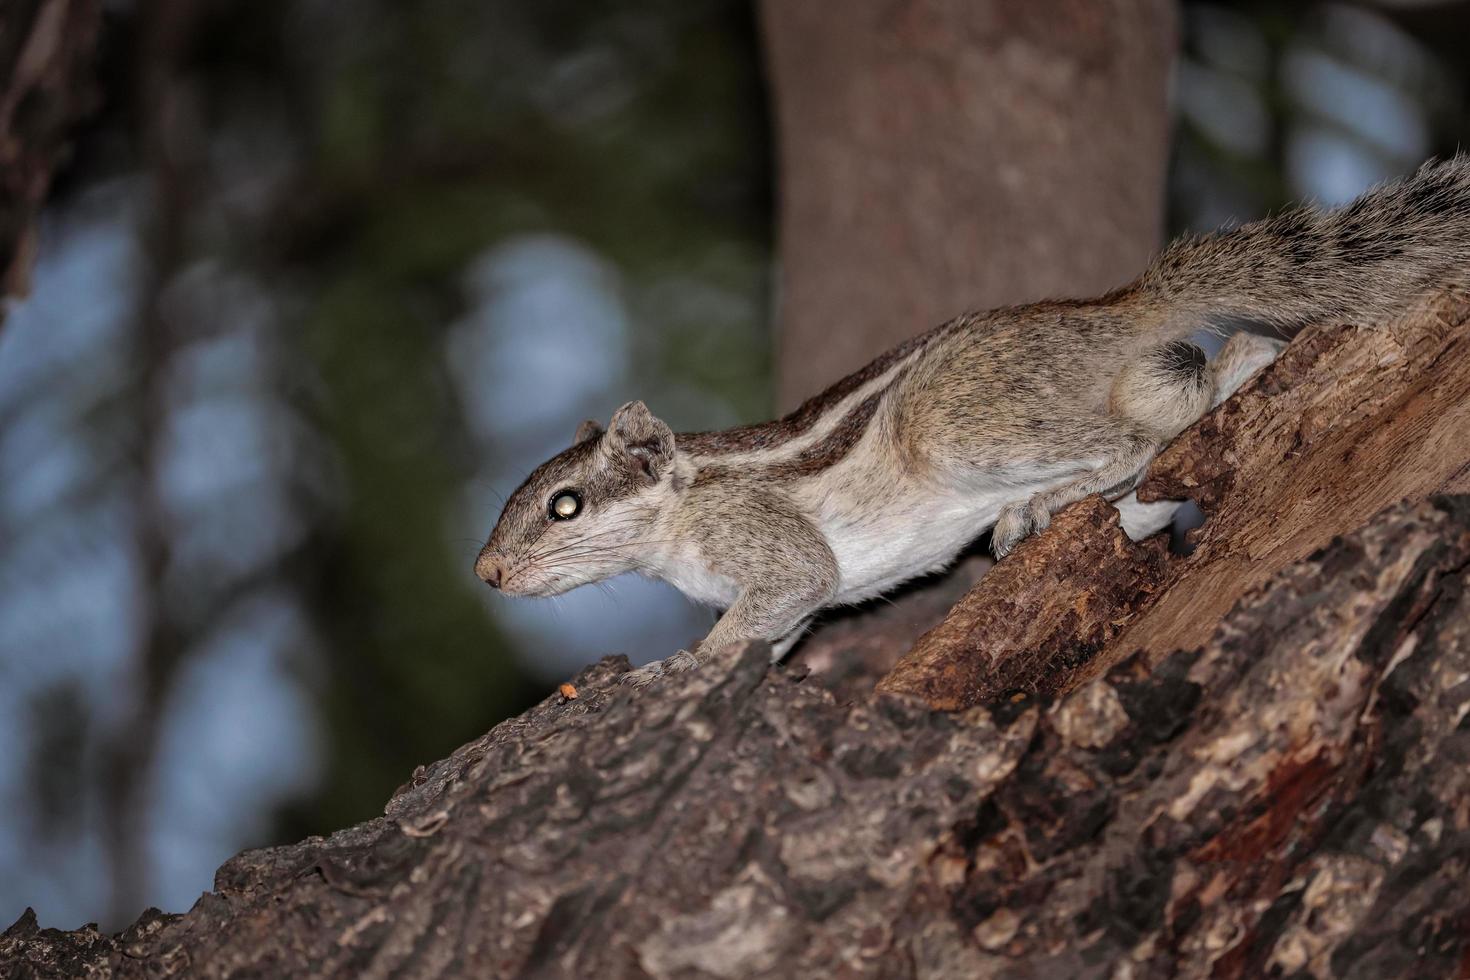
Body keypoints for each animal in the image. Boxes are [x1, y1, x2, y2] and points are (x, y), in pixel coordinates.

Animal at [476, 157, 1464, 687]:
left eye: (564, 504)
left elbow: (791, 586)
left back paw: (1041, 503)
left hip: (958, 426)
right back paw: (1243, 372)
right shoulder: (785, 604)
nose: (486, 572)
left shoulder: (762, 538)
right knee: (1208, 385)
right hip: (1141, 389)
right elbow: (781, 629)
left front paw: (677, 669)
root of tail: (1118, 309)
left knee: (1129, 444)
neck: (680, 514)